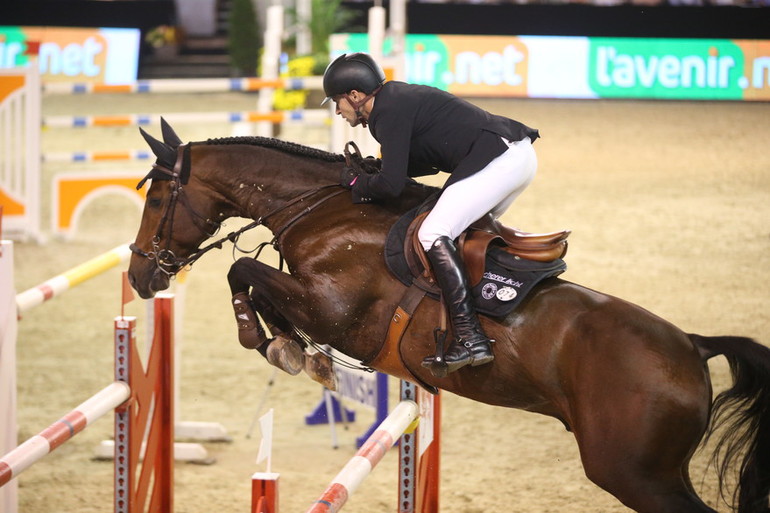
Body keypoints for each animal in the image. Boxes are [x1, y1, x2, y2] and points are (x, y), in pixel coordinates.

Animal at [126, 121, 768, 512]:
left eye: (156, 199)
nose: (138, 277)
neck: (323, 208)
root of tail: (693, 344)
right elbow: (256, 285)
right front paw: (295, 350)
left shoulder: (334, 310)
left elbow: (244, 275)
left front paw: (277, 344)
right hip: (655, 470)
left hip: (632, 472)